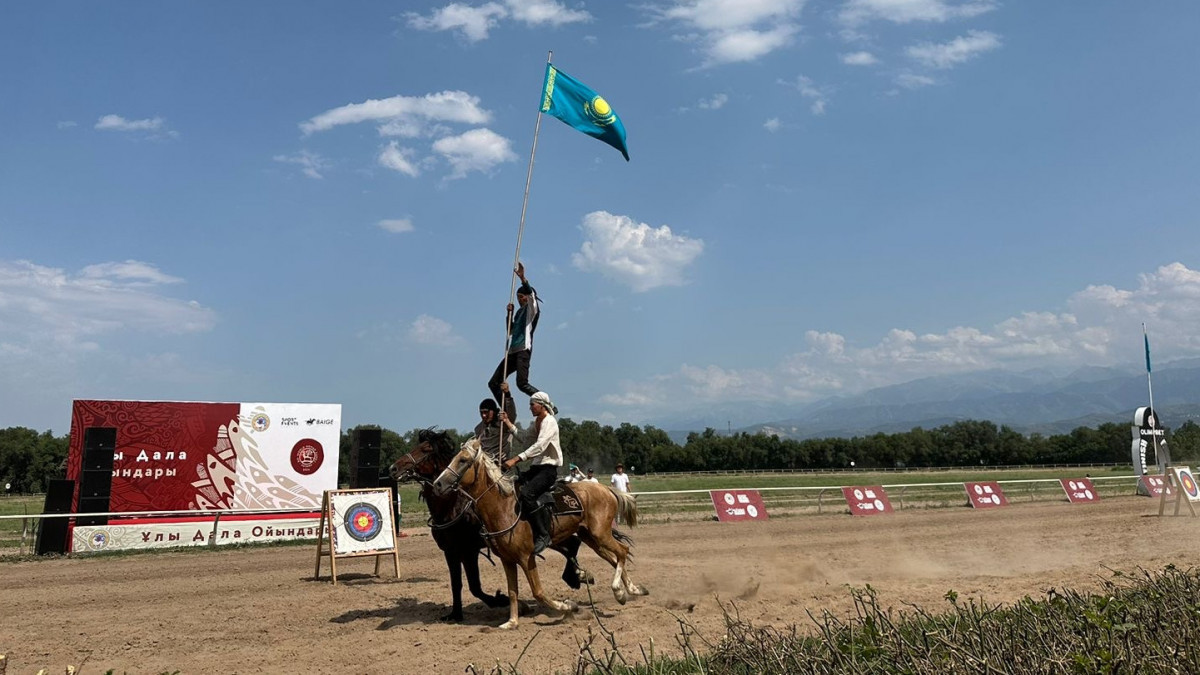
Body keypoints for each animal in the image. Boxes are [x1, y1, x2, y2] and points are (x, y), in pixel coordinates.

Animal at [386, 427, 588, 619]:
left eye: (425, 449)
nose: (393, 468)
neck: (452, 507)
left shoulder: (469, 551)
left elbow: (475, 587)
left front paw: (506, 601)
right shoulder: (450, 552)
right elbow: (456, 584)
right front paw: (455, 614)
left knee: (572, 544)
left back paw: (577, 577)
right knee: (572, 544)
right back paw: (577, 577)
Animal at [434, 437, 648, 624]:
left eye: (463, 460)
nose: (438, 484)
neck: (504, 508)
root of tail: (606, 490)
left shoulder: (526, 557)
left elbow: (538, 592)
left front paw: (569, 607)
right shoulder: (507, 559)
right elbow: (512, 591)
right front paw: (512, 622)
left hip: (600, 534)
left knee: (622, 551)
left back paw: (619, 590)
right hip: (591, 537)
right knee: (614, 558)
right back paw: (632, 590)